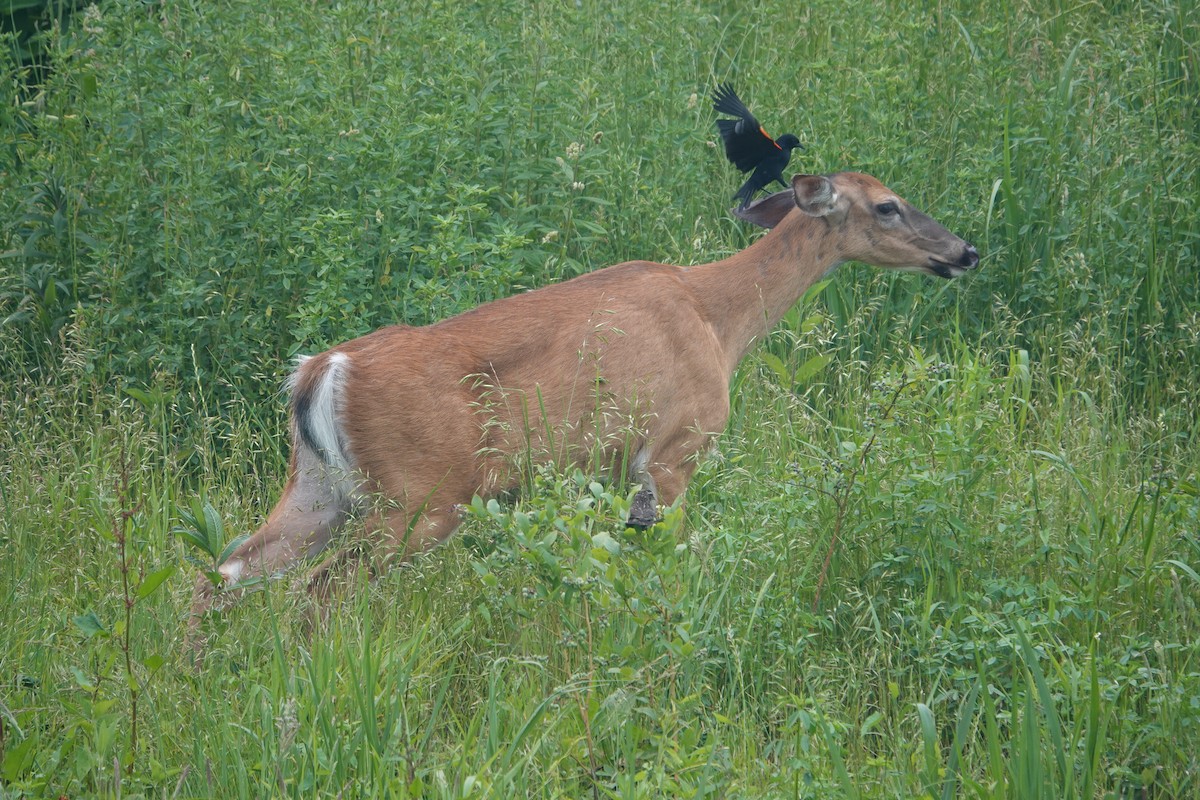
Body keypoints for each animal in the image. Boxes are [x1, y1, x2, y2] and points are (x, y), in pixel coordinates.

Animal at [184, 172, 974, 642]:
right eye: (887, 205)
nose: (964, 252)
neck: (720, 320)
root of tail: (319, 371)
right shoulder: (679, 447)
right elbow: (679, 557)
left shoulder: (617, 469)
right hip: (417, 498)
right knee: (322, 591)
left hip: (321, 488)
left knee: (220, 575)